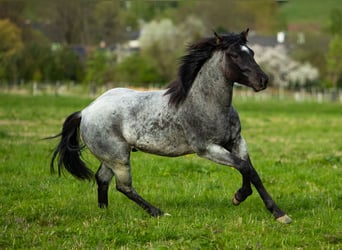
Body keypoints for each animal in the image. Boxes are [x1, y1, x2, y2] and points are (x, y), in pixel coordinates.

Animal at [49, 28, 292, 223]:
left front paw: (271, 210)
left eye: (251, 52)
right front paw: (249, 201)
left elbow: (251, 170)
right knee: (123, 186)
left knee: (102, 180)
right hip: (118, 157)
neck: (207, 103)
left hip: (111, 157)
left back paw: (105, 213)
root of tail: (85, 111)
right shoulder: (207, 149)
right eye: (234, 55)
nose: (263, 81)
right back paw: (158, 212)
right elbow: (243, 167)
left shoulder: (236, 141)